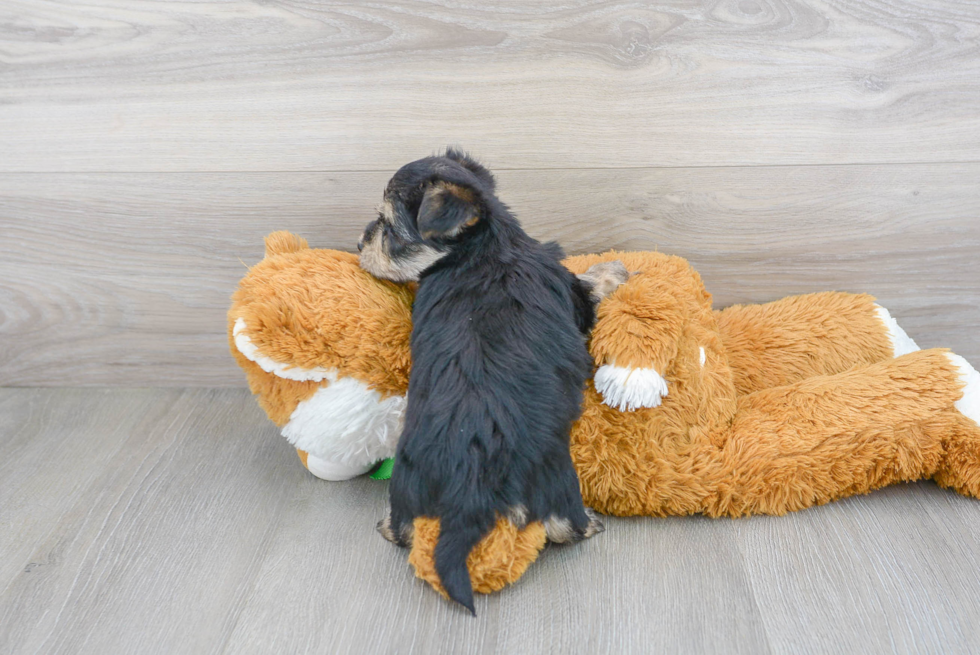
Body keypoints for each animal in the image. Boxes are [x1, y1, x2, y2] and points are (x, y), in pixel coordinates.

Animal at [360, 150, 628, 616]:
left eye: (388, 229)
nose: (360, 241)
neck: (481, 247)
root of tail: (469, 485)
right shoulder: (570, 292)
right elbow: (591, 282)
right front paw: (613, 268)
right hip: (554, 478)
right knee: (565, 526)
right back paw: (592, 523)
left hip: (409, 484)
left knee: (400, 527)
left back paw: (386, 524)